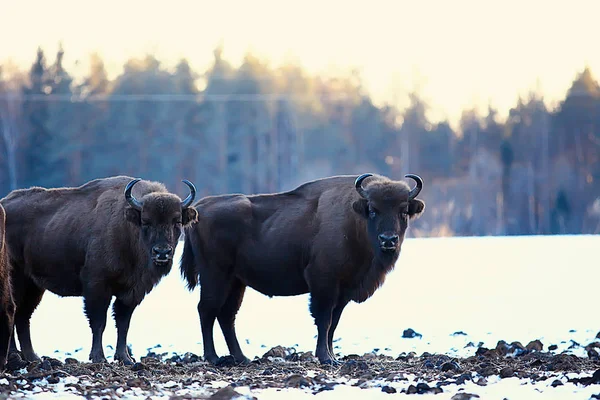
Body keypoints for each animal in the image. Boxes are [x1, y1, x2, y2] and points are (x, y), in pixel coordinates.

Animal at [0, 177, 199, 364]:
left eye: (177, 221)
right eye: (146, 221)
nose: (162, 252)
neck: (127, 228)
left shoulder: (131, 292)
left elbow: (123, 323)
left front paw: (125, 358)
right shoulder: (97, 287)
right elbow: (99, 322)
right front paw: (99, 357)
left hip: (34, 286)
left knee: (23, 316)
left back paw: (32, 357)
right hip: (17, 279)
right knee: (14, 310)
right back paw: (15, 356)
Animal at [180, 173, 424, 366]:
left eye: (404, 211)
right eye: (373, 210)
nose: (388, 240)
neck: (355, 219)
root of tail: (199, 208)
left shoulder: (344, 290)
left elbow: (333, 323)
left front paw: (332, 356)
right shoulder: (324, 283)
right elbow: (324, 320)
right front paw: (325, 358)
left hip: (236, 282)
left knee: (226, 315)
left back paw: (242, 358)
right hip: (215, 276)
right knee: (207, 310)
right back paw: (213, 357)